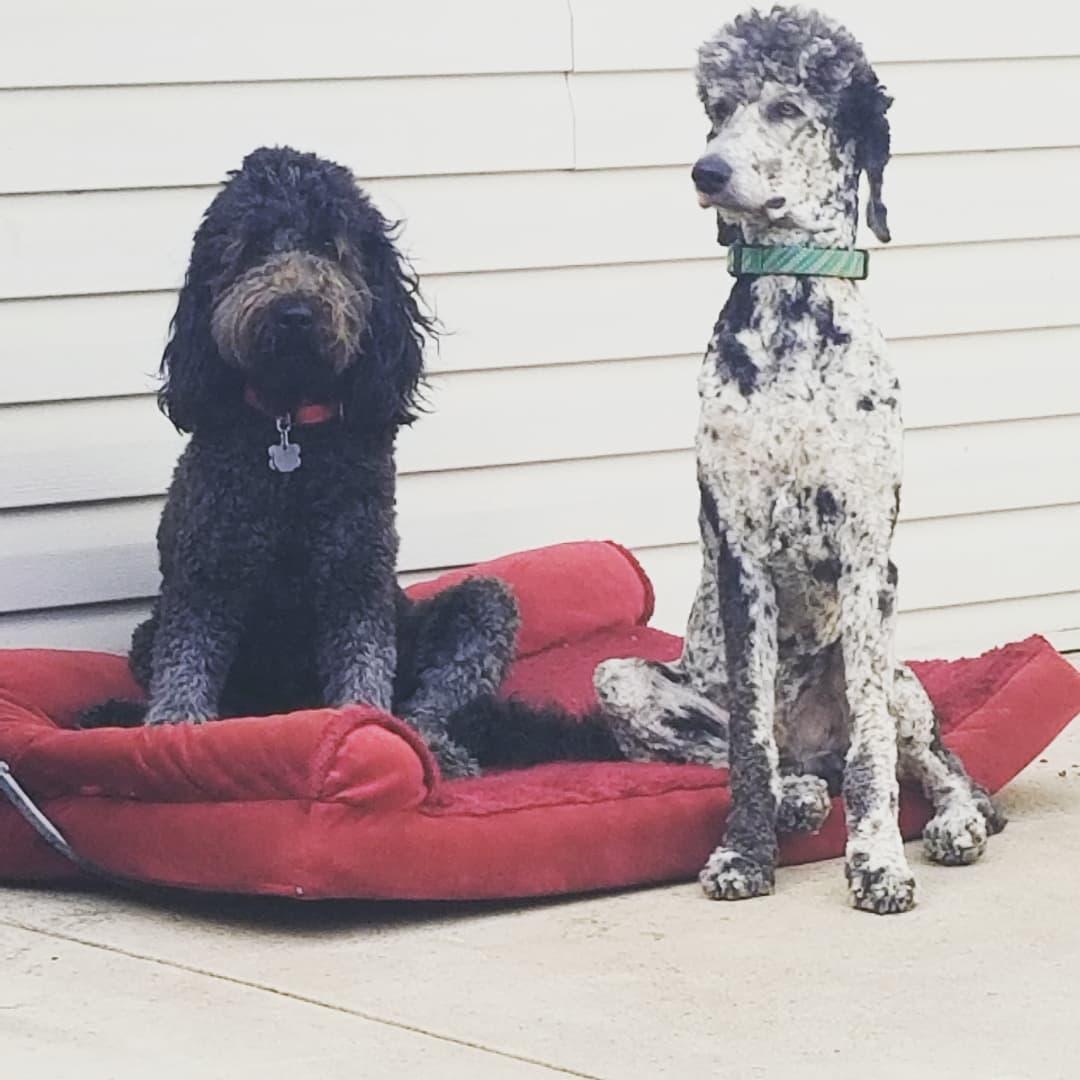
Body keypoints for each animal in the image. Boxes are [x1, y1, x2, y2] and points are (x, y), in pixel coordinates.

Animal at [82, 146, 532, 779]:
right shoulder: (206, 576)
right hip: (149, 631)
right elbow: (186, 669)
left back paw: (437, 749)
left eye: (327, 244)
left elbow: (365, 675)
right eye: (251, 246)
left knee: (434, 696)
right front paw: (171, 735)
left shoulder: (354, 580)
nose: (294, 312)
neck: (290, 428)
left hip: (480, 606)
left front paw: (373, 735)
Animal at [593, 7, 1005, 913]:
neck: (791, 311)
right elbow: (748, 742)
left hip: (897, 666)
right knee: (763, 756)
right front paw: (744, 853)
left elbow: (877, 753)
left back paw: (955, 818)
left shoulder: (865, 557)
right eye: (716, 108)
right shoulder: (741, 557)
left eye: (787, 106)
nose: (707, 171)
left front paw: (878, 861)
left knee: (934, 760)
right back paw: (798, 795)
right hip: (621, 680)